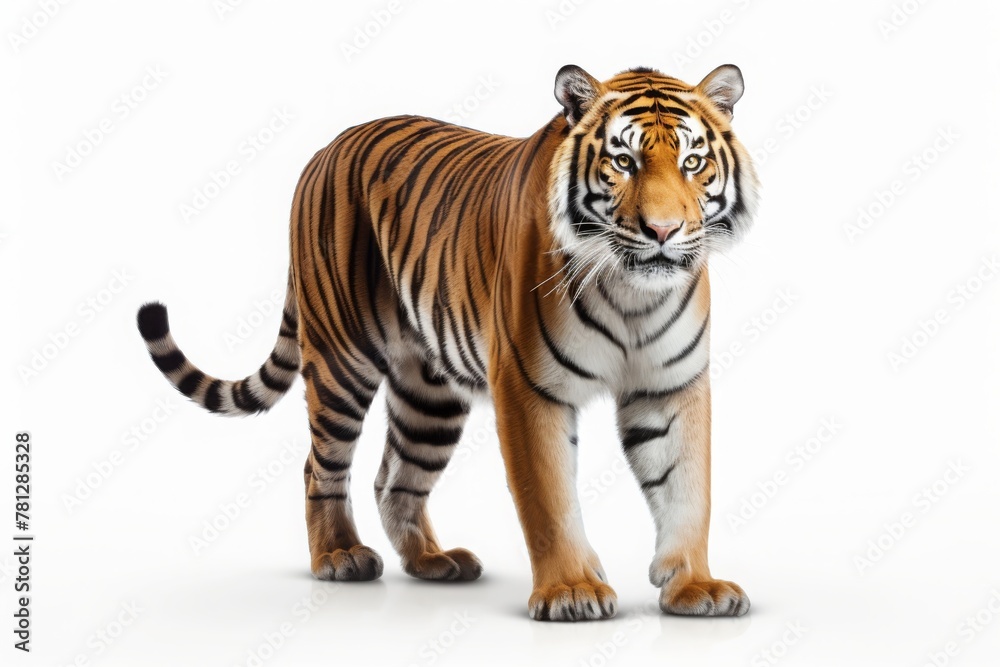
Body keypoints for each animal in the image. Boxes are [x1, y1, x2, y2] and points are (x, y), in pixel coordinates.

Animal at [137, 63, 760, 621]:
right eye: (623, 161)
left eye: (693, 162)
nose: (663, 231)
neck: (633, 294)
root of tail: (325, 149)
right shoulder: (530, 389)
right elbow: (549, 499)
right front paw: (571, 591)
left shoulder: (671, 387)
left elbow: (687, 490)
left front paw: (695, 588)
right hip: (341, 359)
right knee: (321, 466)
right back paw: (339, 555)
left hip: (428, 393)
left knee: (395, 478)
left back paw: (434, 561)